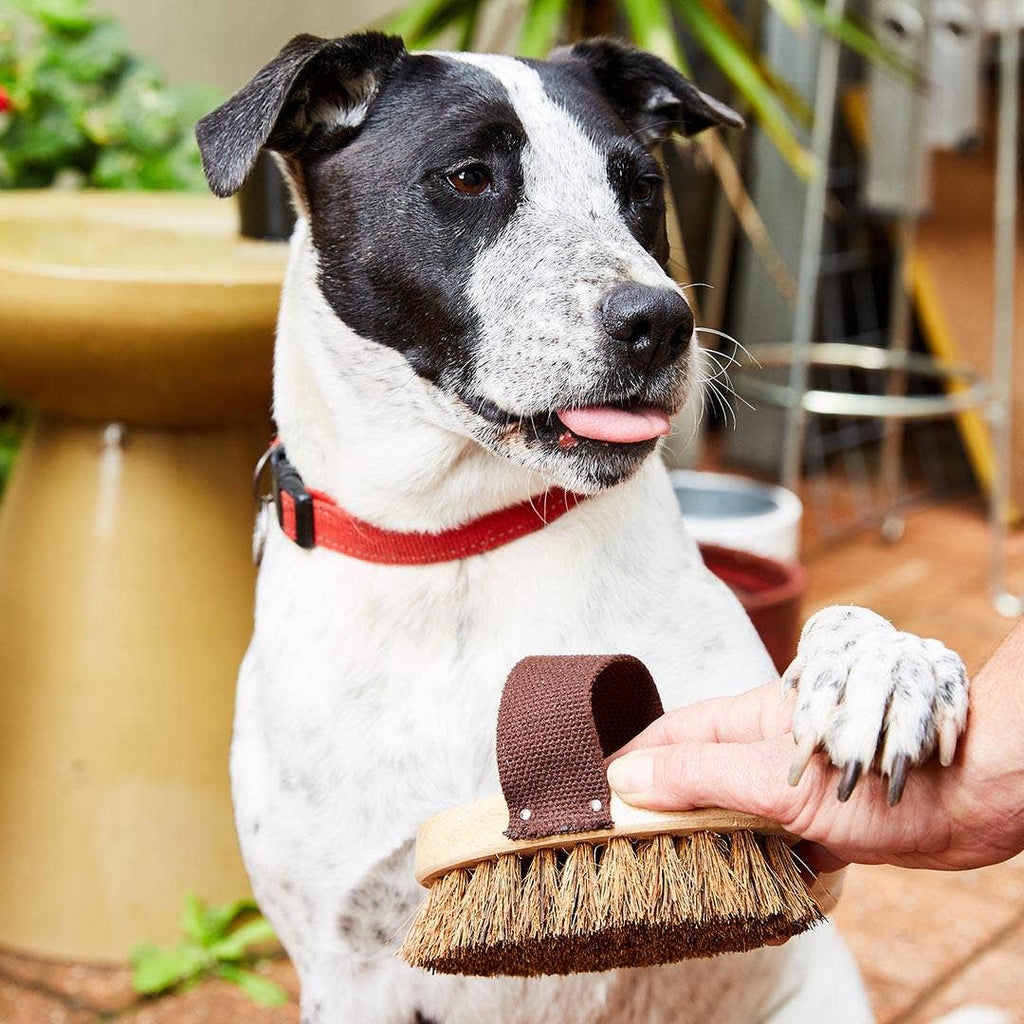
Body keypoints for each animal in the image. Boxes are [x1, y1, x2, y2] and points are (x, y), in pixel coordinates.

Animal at [197, 32, 966, 1024]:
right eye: (470, 177)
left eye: (639, 184)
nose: (662, 323)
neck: (464, 544)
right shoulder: (342, 959)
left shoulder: (789, 850)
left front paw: (883, 669)